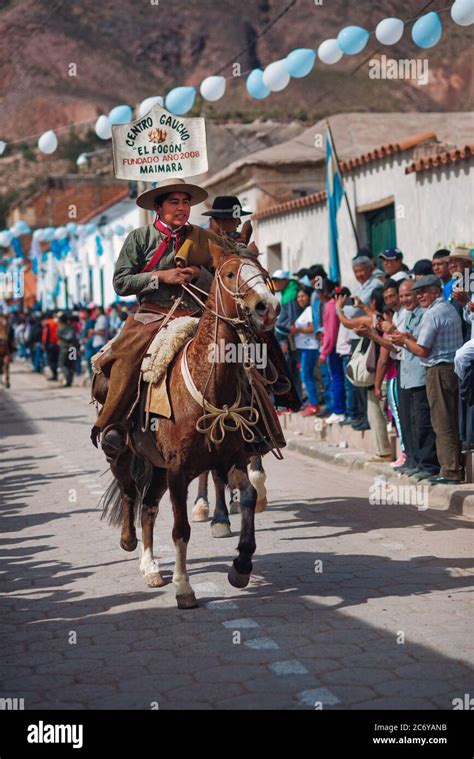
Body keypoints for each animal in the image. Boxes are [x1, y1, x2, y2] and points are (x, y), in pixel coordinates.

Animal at [103, 245, 282, 612]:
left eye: (260, 270)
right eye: (229, 274)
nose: (268, 307)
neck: (209, 383)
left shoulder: (232, 457)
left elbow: (247, 496)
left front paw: (241, 565)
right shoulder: (178, 470)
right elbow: (180, 529)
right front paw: (184, 588)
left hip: (157, 466)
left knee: (148, 508)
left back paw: (151, 567)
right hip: (125, 450)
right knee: (129, 490)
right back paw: (129, 541)